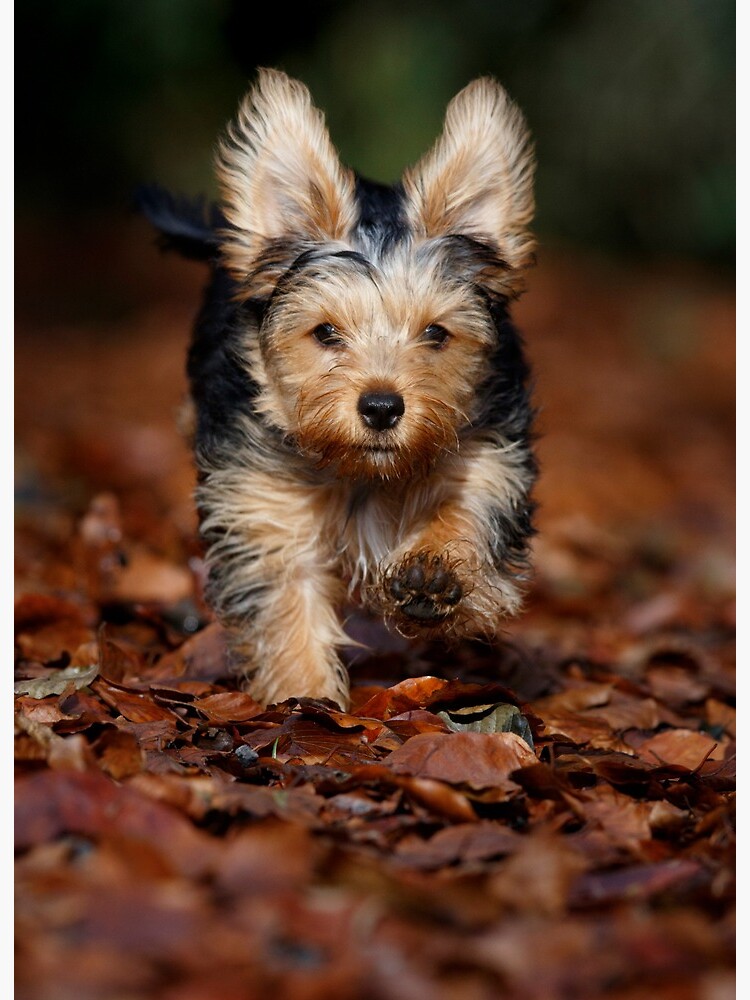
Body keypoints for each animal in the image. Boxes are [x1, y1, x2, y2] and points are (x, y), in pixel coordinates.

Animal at [141, 68, 536, 712]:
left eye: (436, 333)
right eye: (325, 332)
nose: (381, 407)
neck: (360, 470)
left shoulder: (489, 454)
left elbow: (470, 506)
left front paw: (433, 571)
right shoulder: (263, 503)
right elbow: (287, 605)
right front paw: (304, 697)